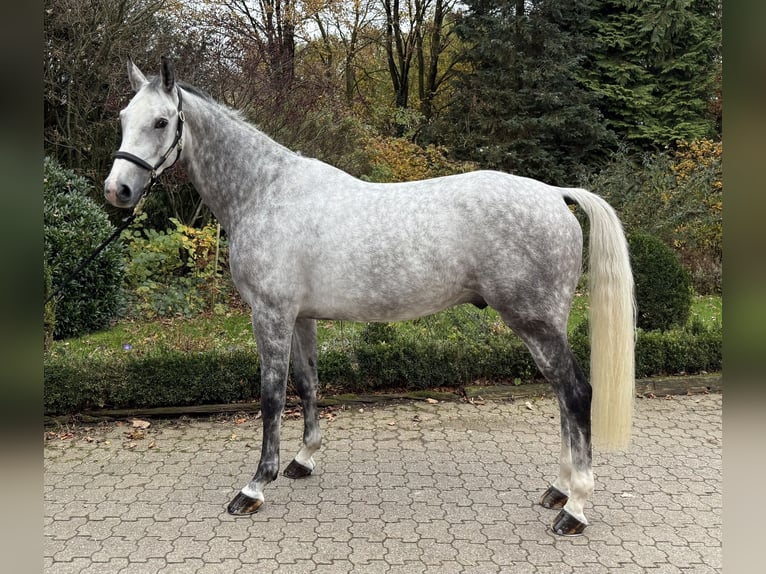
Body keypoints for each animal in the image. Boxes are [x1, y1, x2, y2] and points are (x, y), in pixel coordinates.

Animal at [104, 57, 635, 536]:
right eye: (123, 118)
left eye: (161, 121)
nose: (118, 190)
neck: (265, 193)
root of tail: (554, 193)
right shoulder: (300, 317)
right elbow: (307, 383)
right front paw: (303, 459)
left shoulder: (270, 314)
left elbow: (272, 395)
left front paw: (255, 486)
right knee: (562, 399)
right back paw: (558, 491)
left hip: (535, 322)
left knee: (575, 394)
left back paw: (574, 508)